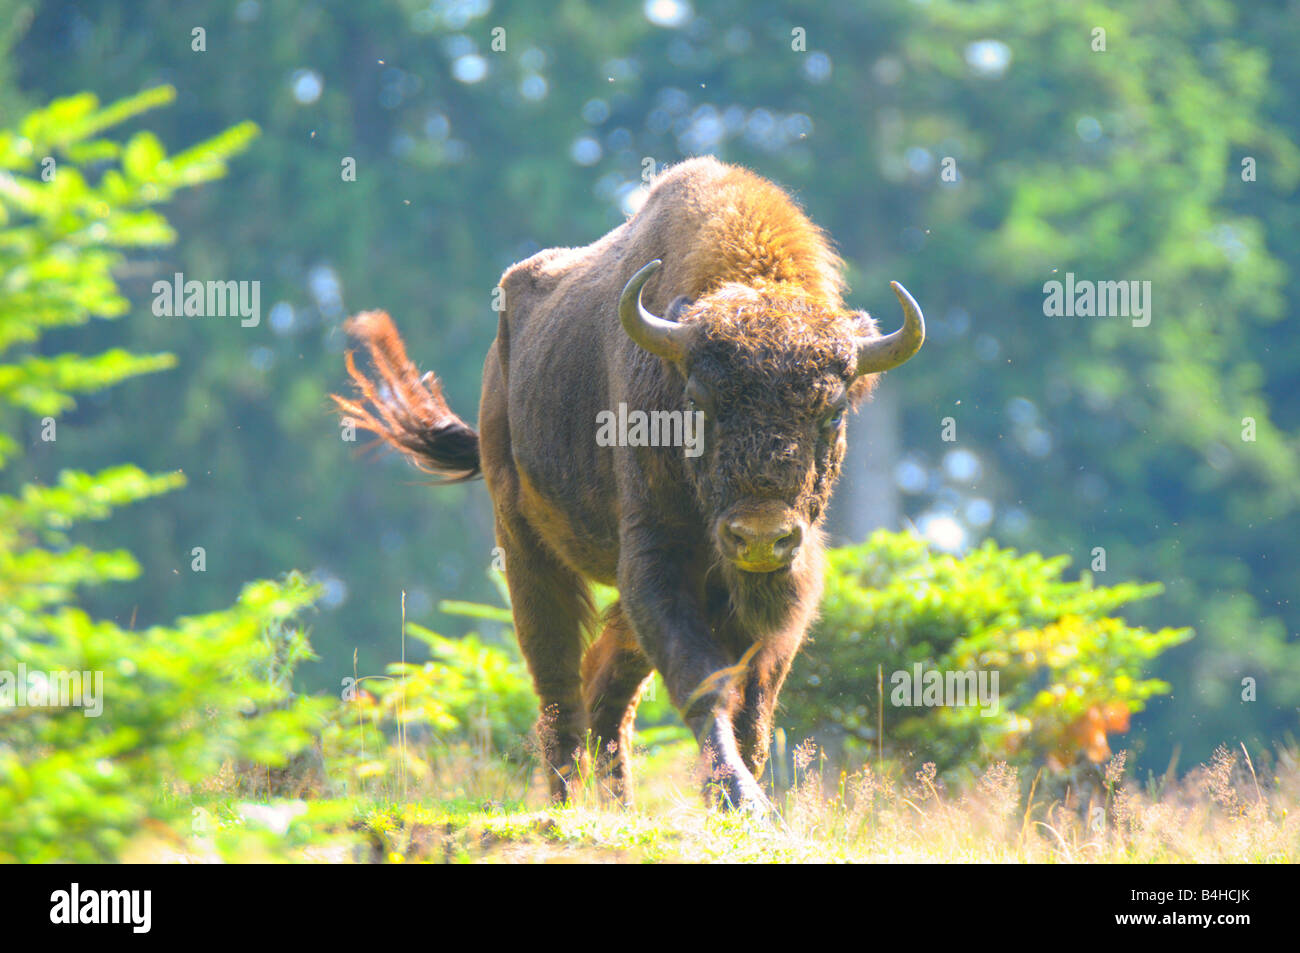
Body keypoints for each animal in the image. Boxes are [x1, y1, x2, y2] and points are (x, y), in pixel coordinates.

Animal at [335, 157, 925, 811]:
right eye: (698, 401)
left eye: (834, 411)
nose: (759, 537)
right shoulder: (656, 559)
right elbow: (702, 682)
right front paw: (743, 801)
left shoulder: (784, 585)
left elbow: (754, 706)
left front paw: (747, 792)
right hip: (522, 541)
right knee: (559, 684)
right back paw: (568, 804)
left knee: (606, 688)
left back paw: (619, 805)